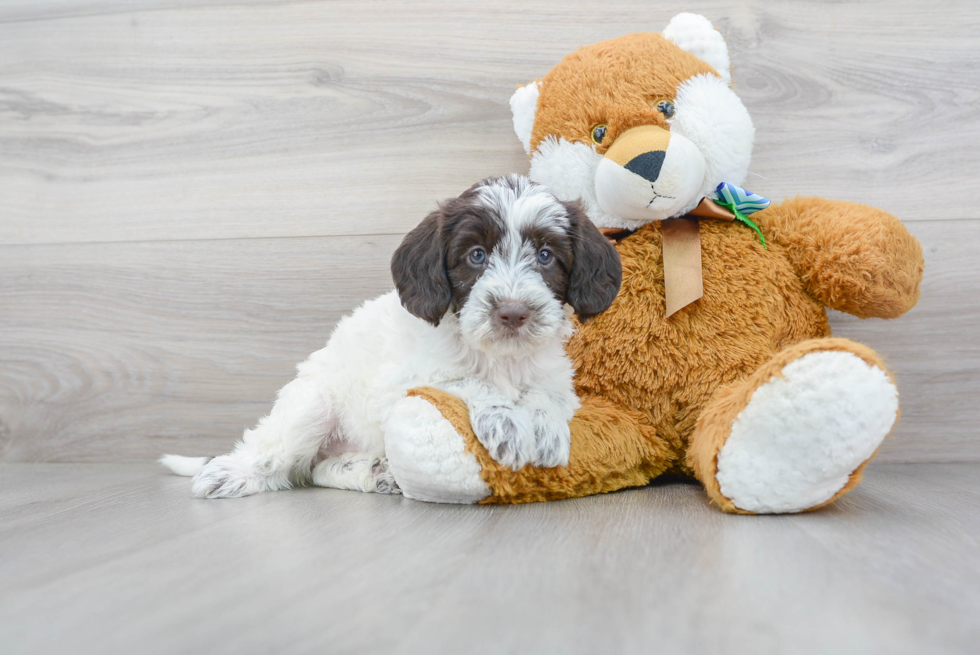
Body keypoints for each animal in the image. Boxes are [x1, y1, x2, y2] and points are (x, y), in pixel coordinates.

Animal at [161, 174, 620, 498]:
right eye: (476, 256)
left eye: (545, 256)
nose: (513, 312)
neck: (499, 356)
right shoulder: (405, 382)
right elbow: (465, 381)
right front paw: (506, 420)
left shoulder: (554, 376)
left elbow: (547, 395)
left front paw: (543, 428)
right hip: (311, 404)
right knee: (280, 459)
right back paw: (232, 472)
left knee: (315, 470)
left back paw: (374, 472)